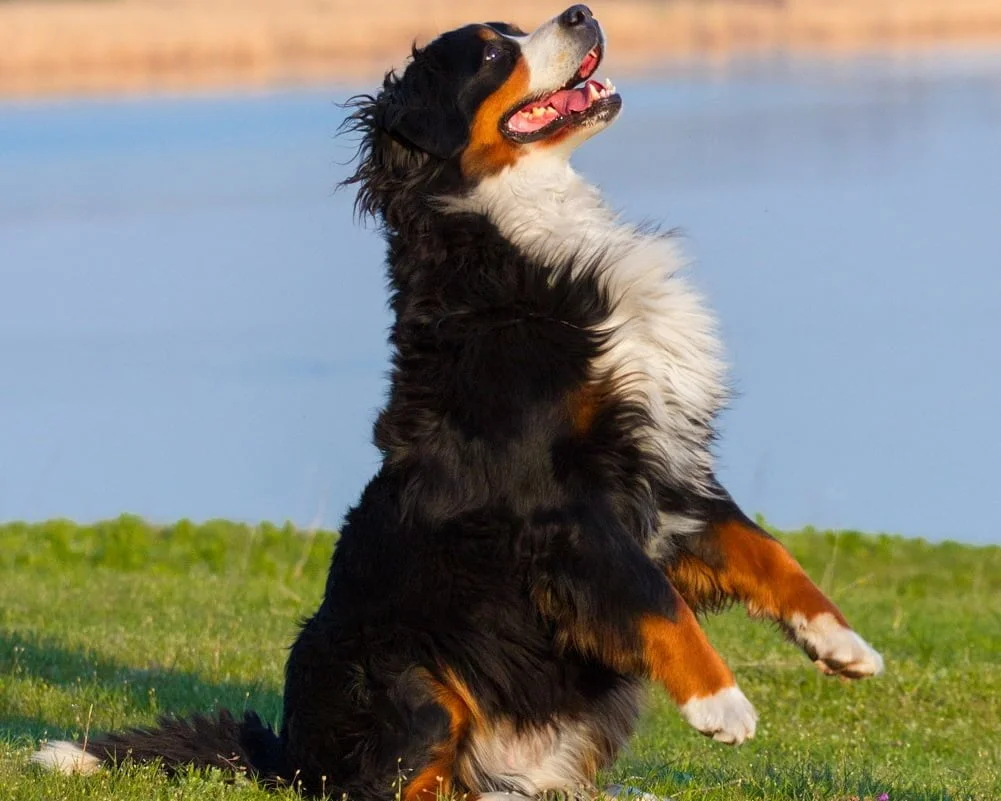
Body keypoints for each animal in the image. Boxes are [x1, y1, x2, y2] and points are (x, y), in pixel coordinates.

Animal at [33, 7, 884, 801]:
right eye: (489, 55)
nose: (581, 13)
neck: (524, 242)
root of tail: (294, 755)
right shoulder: (561, 505)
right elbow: (654, 599)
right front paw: (721, 702)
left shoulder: (668, 468)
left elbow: (766, 552)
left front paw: (840, 641)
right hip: (406, 682)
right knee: (401, 782)